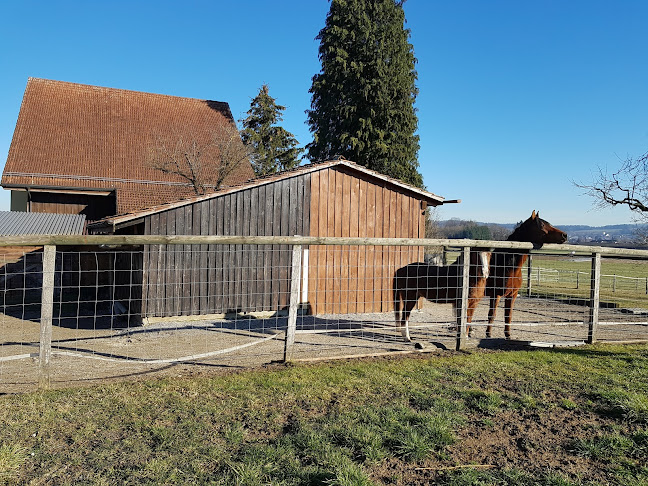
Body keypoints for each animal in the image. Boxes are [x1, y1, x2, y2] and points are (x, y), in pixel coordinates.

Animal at [480, 211, 568, 340]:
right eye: (542, 225)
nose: (564, 235)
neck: (507, 266)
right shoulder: (496, 294)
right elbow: (492, 314)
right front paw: (488, 334)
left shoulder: (512, 295)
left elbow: (508, 315)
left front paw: (508, 335)